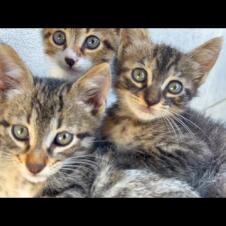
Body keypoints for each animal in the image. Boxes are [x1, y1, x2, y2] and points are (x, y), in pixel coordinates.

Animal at [100, 29, 226, 197]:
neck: (132, 122)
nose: (151, 101)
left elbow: (143, 155)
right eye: (139, 74)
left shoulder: (198, 152)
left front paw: (116, 153)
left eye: (174, 87)